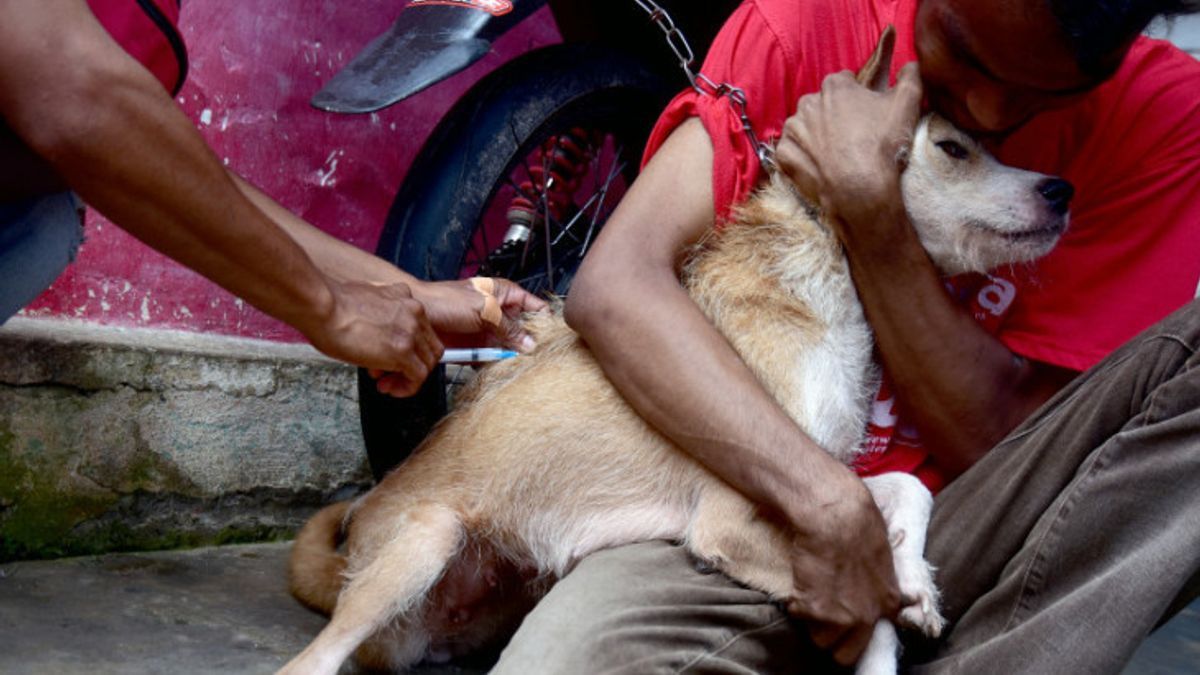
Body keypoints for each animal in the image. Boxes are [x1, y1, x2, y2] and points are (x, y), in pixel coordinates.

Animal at [278, 27, 1070, 672]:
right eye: (953, 149)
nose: (1061, 189)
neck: (825, 270)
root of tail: (356, 545)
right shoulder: (734, 518)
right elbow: (865, 597)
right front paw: (891, 613)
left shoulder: (821, 478)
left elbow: (906, 488)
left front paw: (915, 581)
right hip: (425, 542)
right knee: (306, 664)